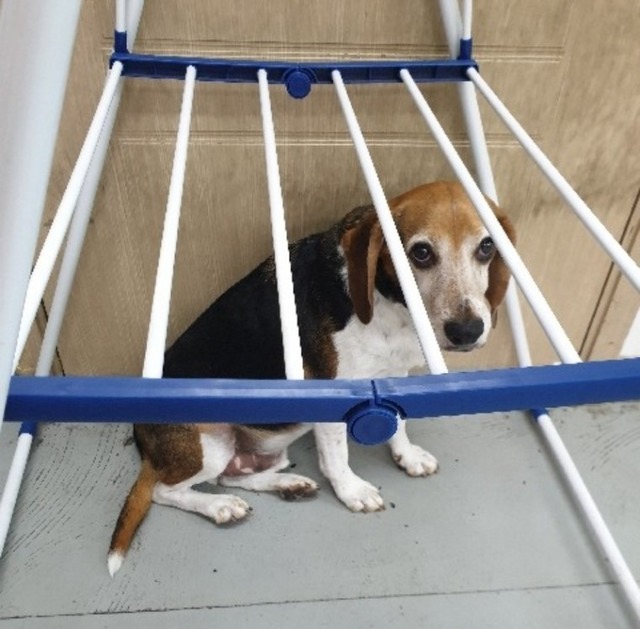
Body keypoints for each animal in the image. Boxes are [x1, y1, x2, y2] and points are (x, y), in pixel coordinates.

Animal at [107, 180, 515, 576]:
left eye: (487, 247)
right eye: (421, 253)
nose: (467, 330)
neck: (389, 305)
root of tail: (143, 441)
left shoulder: (393, 377)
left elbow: (398, 425)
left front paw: (408, 456)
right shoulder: (334, 396)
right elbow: (337, 458)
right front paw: (353, 491)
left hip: (270, 444)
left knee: (233, 475)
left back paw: (288, 485)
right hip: (212, 443)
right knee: (165, 491)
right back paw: (220, 506)